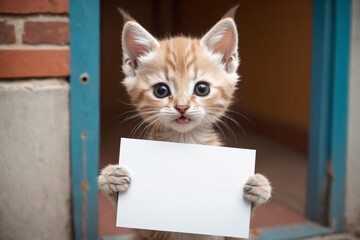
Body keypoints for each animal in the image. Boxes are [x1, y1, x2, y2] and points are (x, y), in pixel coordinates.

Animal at [97, 6, 272, 239]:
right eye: (161, 90)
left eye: (202, 88)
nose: (181, 107)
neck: (183, 141)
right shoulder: (146, 231)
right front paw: (110, 179)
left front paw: (258, 187)